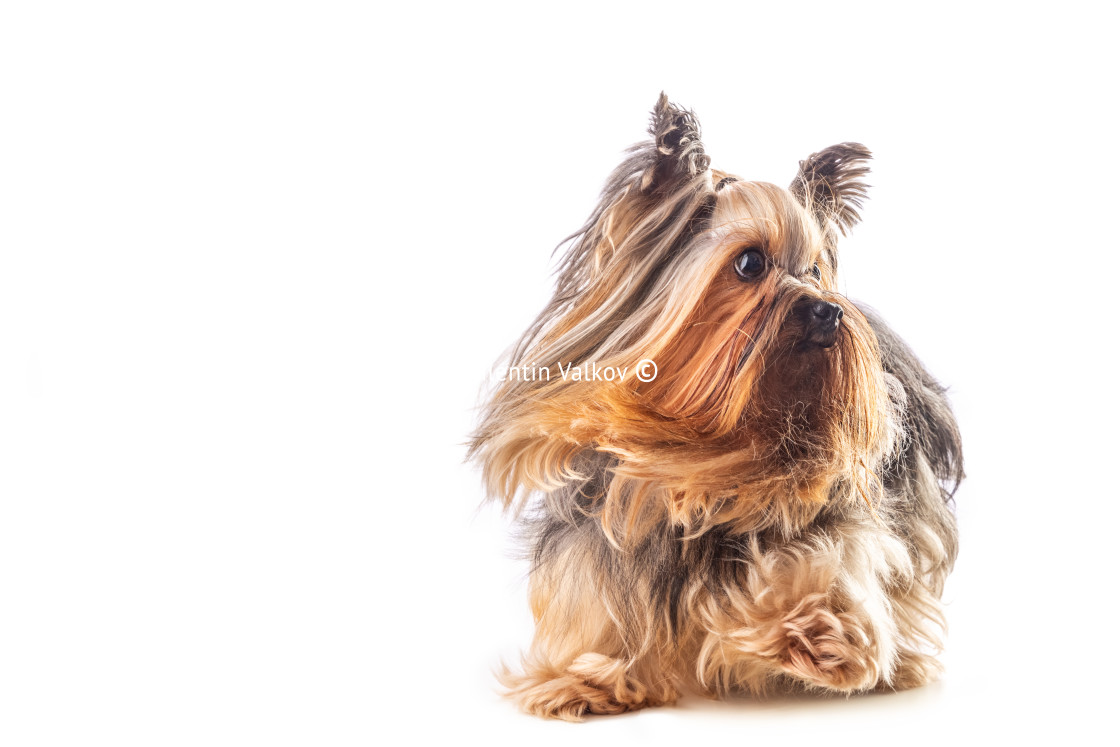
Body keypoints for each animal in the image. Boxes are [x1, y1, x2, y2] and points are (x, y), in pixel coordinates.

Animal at [468, 91, 958, 716]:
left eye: (815, 269)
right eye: (749, 263)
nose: (829, 309)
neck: (715, 447)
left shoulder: (838, 520)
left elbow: (823, 558)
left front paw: (818, 631)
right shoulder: (604, 539)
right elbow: (604, 599)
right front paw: (588, 675)